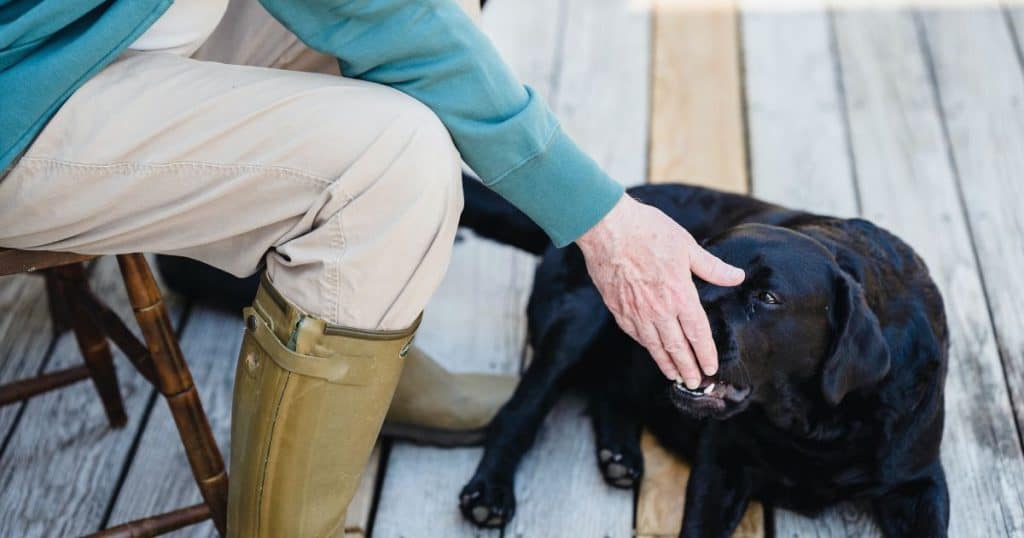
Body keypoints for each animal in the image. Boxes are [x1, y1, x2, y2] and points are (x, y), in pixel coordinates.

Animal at [458, 176, 950, 532]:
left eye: (767, 297)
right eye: (693, 271)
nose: (679, 307)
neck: (812, 428)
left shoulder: (919, 484)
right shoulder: (722, 466)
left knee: (609, 390)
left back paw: (619, 454)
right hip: (578, 320)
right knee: (524, 409)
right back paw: (489, 492)